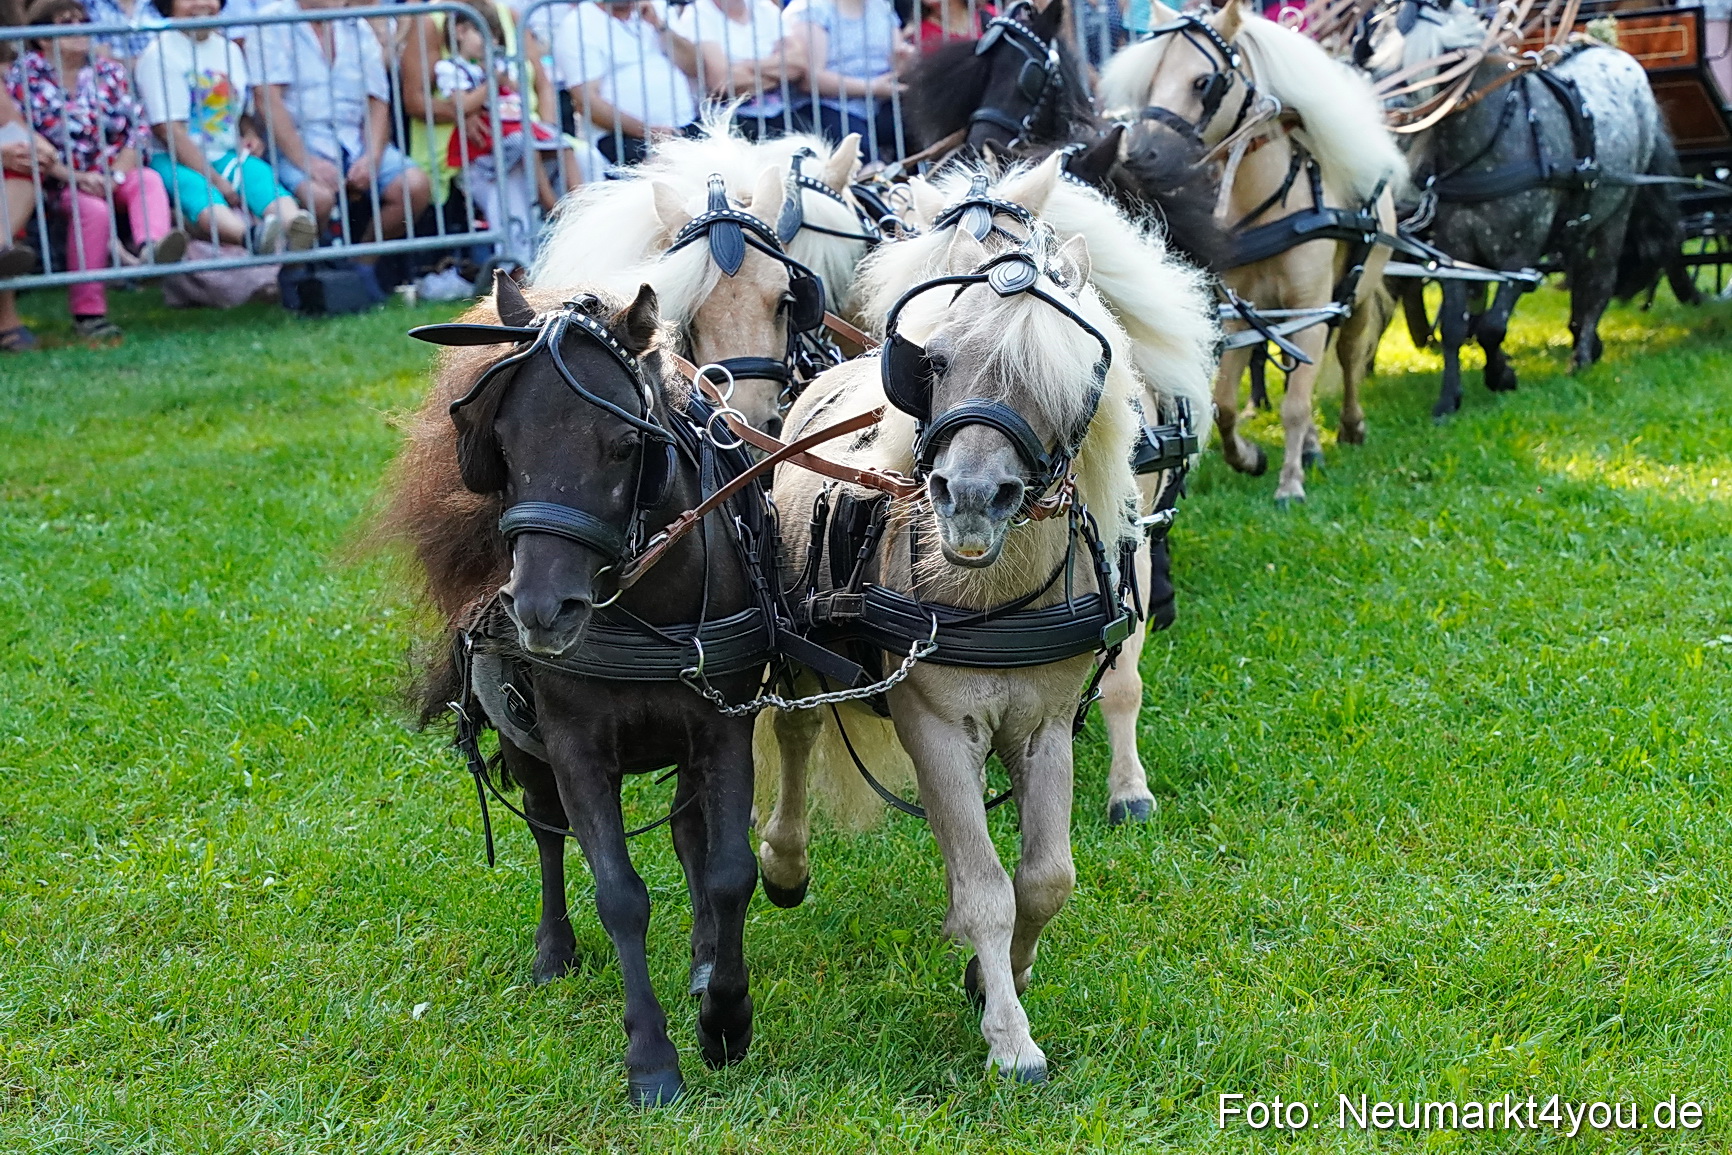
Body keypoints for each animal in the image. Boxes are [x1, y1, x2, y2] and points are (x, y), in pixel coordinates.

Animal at [375, 273, 775, 1107]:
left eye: (624, 444)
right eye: (502, 445)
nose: (540, 610)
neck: (648, 603)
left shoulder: (723, 726)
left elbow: (728, 871)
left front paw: (725, 1013)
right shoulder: (574, 746)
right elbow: (618, 891)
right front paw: (651, 1056)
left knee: (686, 835)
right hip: (527, 751)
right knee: (546, 833)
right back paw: (552, 950)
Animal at [756, 159, 1217, 1080]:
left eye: (1061, 371)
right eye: (930, 358)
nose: (971, 496)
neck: (987, 594)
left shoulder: (1044, 724)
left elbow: (1045, 877)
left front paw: (996, 974)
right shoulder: (936, 727)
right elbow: (984, 888)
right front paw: (1010, 1038)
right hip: (801, 652)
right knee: (795, 732)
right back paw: (784, 862)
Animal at [1102, 0, 1408, 502]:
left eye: (1203, 83)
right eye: (1148, 81)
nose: (1141, 152)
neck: (1270, 205)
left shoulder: (1310, 308)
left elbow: (1297, 403)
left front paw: (1290, 484)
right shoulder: (1240, 314)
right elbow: (1226, 403)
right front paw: (1248, 457)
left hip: (1355, 296)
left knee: (1347, 355)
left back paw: (1349, 426)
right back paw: (1312, 445)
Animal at [1371, 0, 1683, 416]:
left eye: (1436, 58)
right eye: (1376, 56)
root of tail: (1615, 52)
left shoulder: (1520, 252)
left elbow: (1491, 325)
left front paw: (1501, 376)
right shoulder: (1454, 250)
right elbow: (1457, 325)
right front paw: (1449, 399)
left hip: (1616, 214)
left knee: (1600, 280)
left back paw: (1581, 357)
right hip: (1578, 219)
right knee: (1579, 276)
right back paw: (1582, 338)